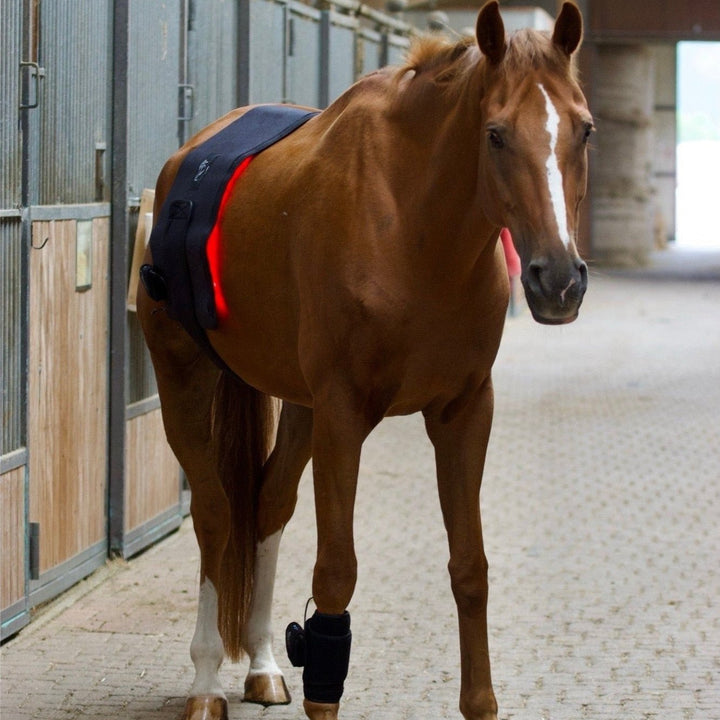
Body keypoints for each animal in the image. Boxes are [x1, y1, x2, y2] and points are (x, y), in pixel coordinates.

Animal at [137, 2, 592, 718]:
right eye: (494, 135)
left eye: (585, 130)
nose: (559, 280)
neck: (410, 225)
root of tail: (187, 156)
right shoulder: (344, 417)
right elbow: (335, 577)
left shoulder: (464, 412)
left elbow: (470, 568)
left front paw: (480, 699)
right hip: (187, 380)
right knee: (215, 514)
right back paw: (206, 683)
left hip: (299, 406)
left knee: (266, 504)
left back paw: (262, 665)